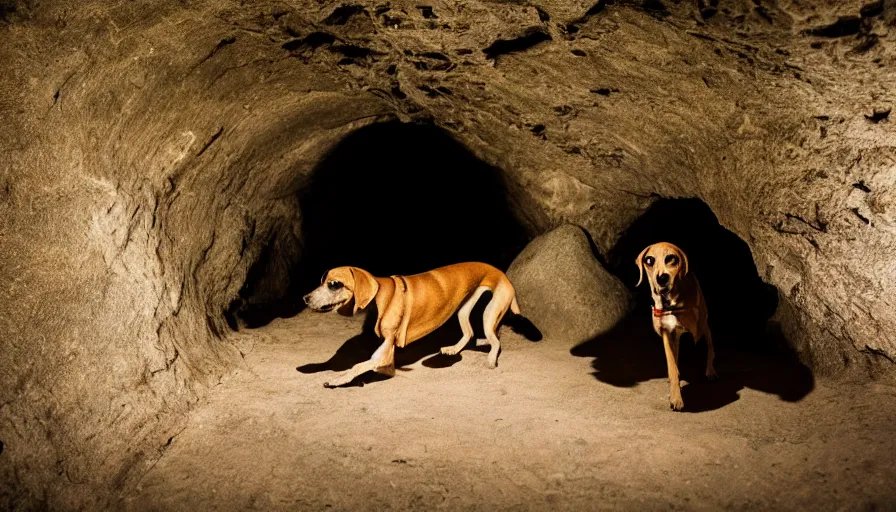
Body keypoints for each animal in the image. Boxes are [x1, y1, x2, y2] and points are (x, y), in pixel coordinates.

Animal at [304, 264, 520, 388]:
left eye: (334, 284)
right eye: (322, 281)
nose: (305, 298)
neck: (382, 295)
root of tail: (498, 271)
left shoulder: (383, 354)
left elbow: (357, 365)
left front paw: (339, 379)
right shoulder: (385, 357)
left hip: (489, 315)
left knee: (495, 341)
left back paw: (491, 359)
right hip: (464, 310)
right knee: (469, 333)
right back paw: (453, 349)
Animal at [632, 243, 716, 412]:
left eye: (671, 258)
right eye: (649, 260)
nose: (662, 278)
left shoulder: (695, 328)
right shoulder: (667, 332)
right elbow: (671, 365)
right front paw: (676, 397)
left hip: (704, 325)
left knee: (710, 346)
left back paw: (710, 370)